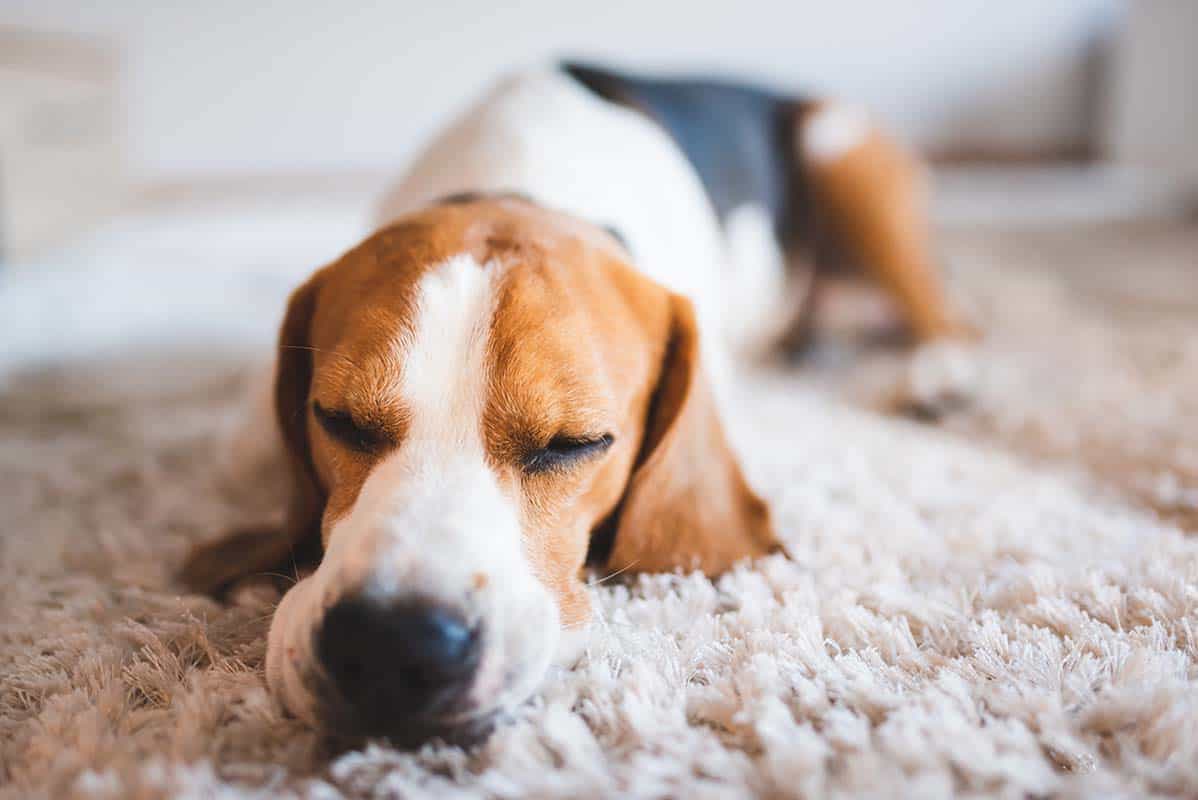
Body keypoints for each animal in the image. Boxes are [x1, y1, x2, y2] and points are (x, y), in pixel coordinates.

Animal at [179, 61, 963, 742]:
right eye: (336, 419)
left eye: (575, 444)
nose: (390, 647)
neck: (517, 182)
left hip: (843, 155)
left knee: (948, 315)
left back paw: (939, 376)